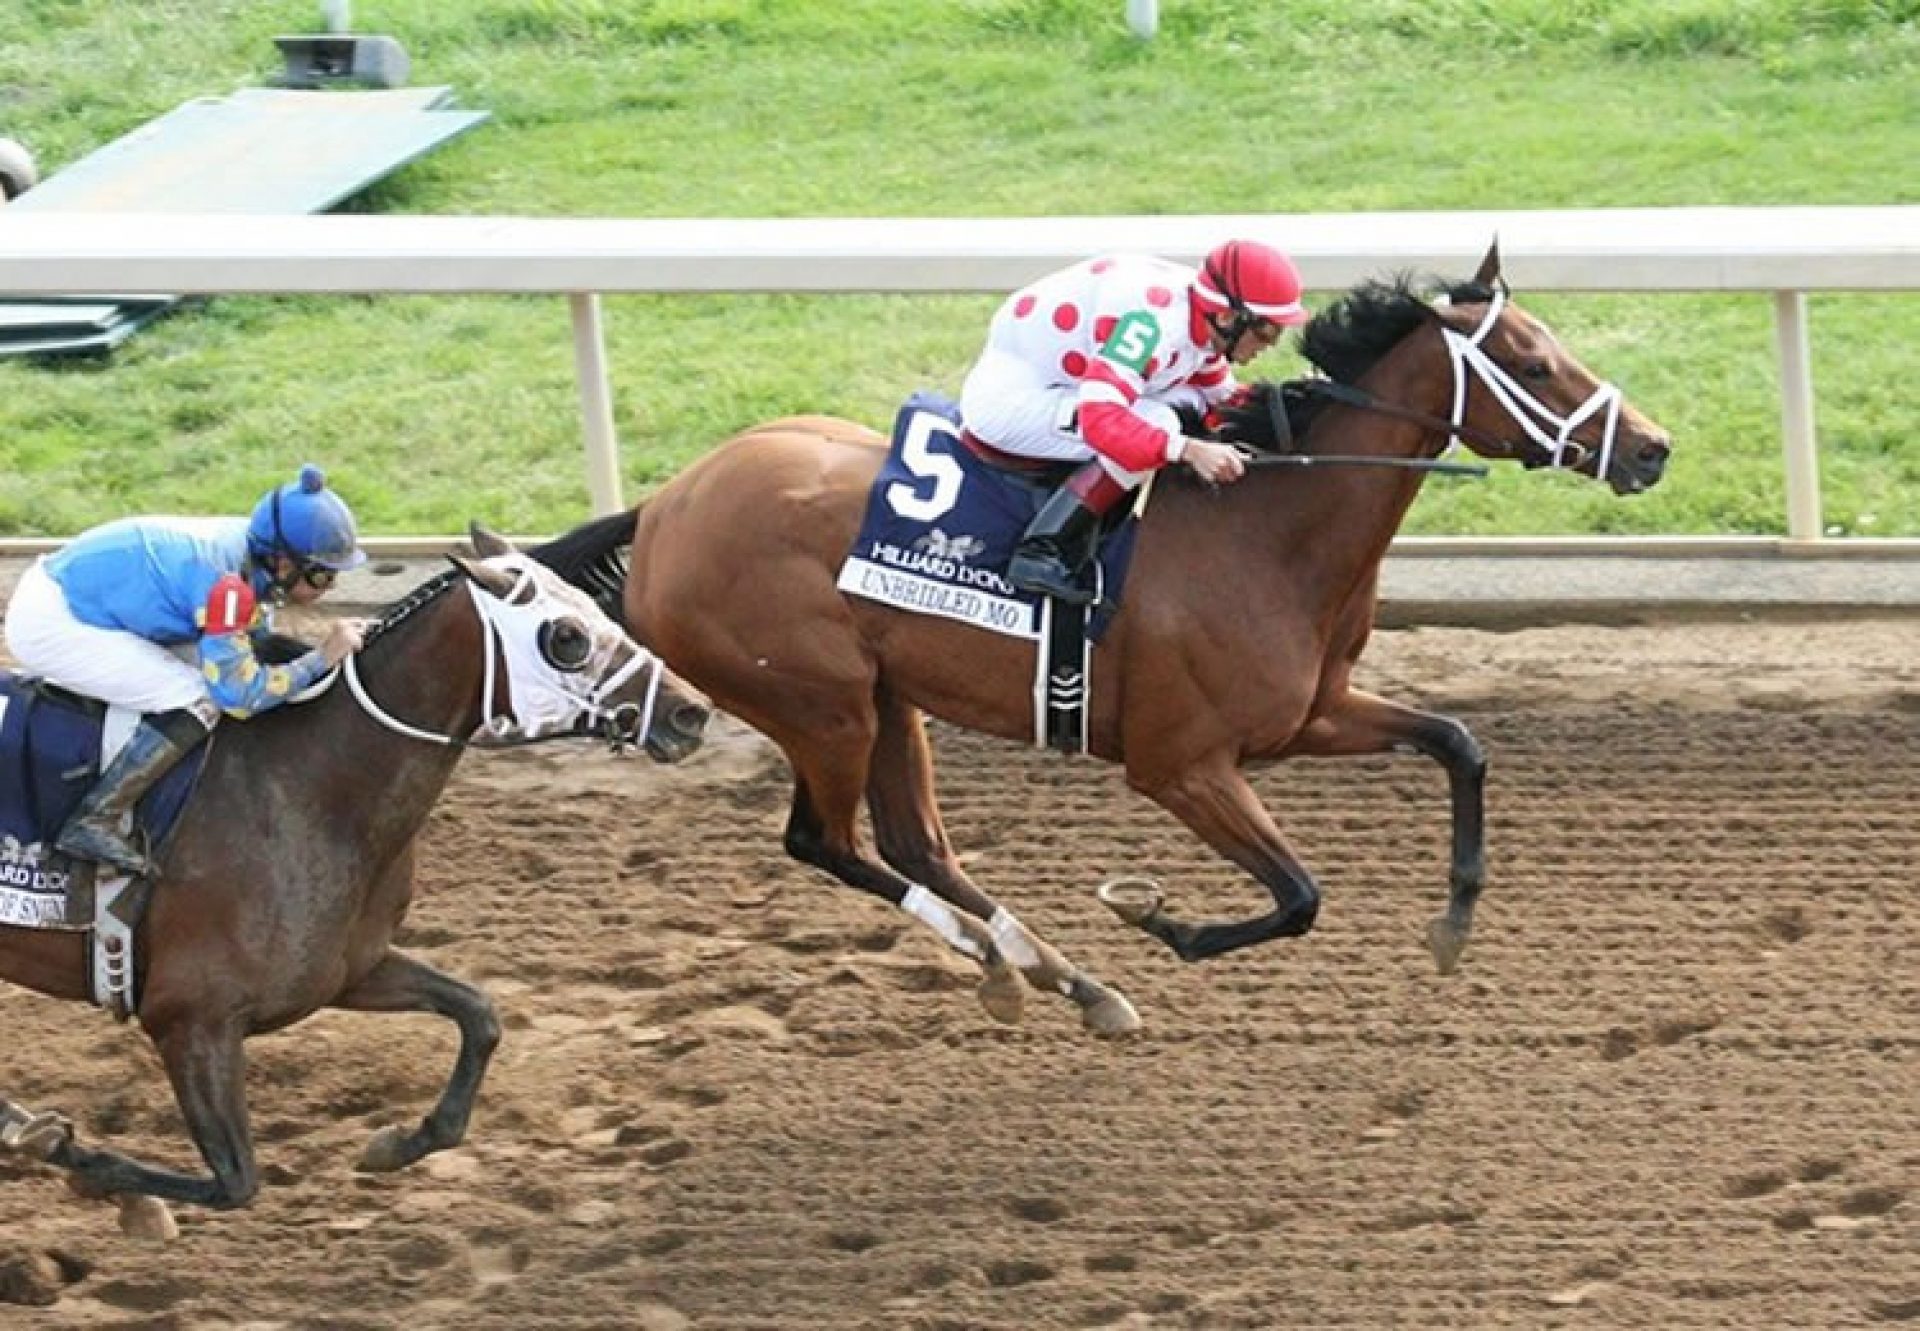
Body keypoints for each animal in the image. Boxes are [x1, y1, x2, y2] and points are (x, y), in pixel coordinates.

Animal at [0, 526, 714, 1229]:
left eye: (599, 609)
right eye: (566, 637)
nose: (691, 713)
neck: (310, 785)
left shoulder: (351, 970)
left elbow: (479, 1015)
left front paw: (399, 1142)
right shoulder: (189, 1019)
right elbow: (236, 1182)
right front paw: (92, 1173)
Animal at [537, 243, 1666, 1037]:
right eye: (1534, 363)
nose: (1653, 449)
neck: (1267, 529)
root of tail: (667, 507)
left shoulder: (1309, 716)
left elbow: (1458, 744)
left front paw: (1453, 924)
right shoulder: (1179, 765)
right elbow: (1300, 894)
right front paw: (1158, 916)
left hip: (888, 694)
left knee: (915, 842)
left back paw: (1060, 977)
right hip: (820, 704)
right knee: (825, 841)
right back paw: (1022, 966)